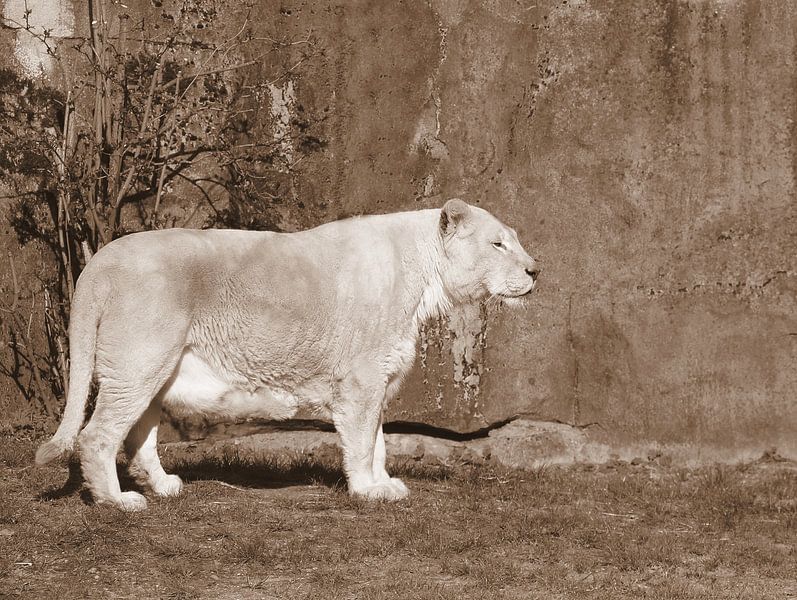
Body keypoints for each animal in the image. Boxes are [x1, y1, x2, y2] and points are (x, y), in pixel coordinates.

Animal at [35, 199, 539, 510]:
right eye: (499, 243)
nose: (537, 270)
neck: (424, 278)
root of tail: (99, 261)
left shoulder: (378, 379)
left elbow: (379, 439)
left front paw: (385, 485)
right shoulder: (360, 379)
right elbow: (362, 441)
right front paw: (367, 491)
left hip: (157, 371)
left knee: (138, 436)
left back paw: (164, 487)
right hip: (138, 364)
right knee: (97, 436)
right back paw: (117, 502)